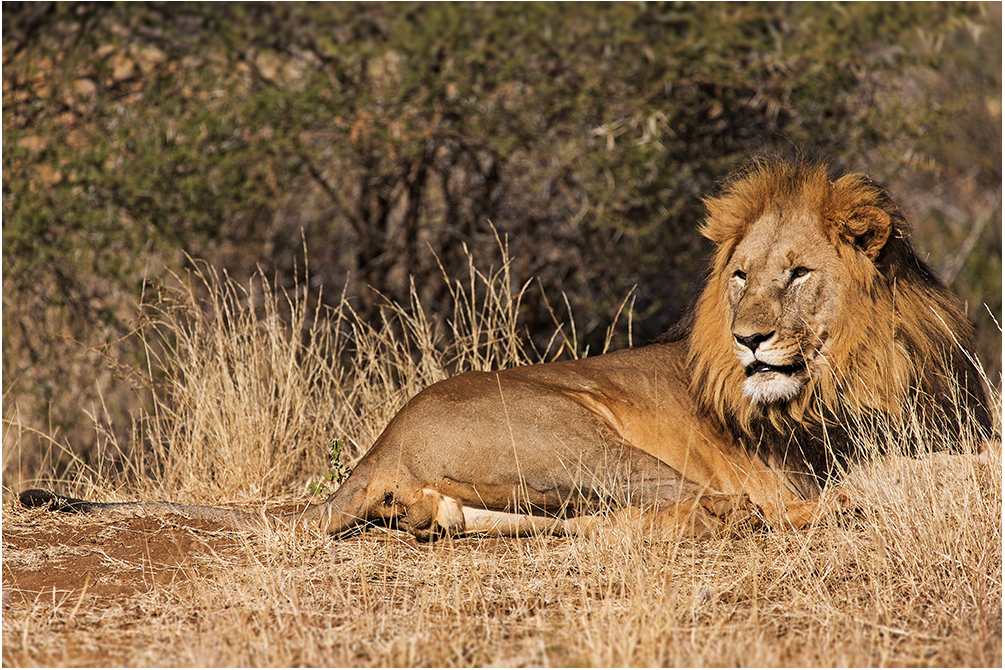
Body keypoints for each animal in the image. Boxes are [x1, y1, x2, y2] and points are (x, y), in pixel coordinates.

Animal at [19, 159, 992, 542]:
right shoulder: (821, 459)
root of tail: (383, 439)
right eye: (740, 278)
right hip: (580, 437)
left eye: (795, 275)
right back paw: (810, 514)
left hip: (516, 495)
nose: (748, 337)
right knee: (710, 507)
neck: (864, 360)